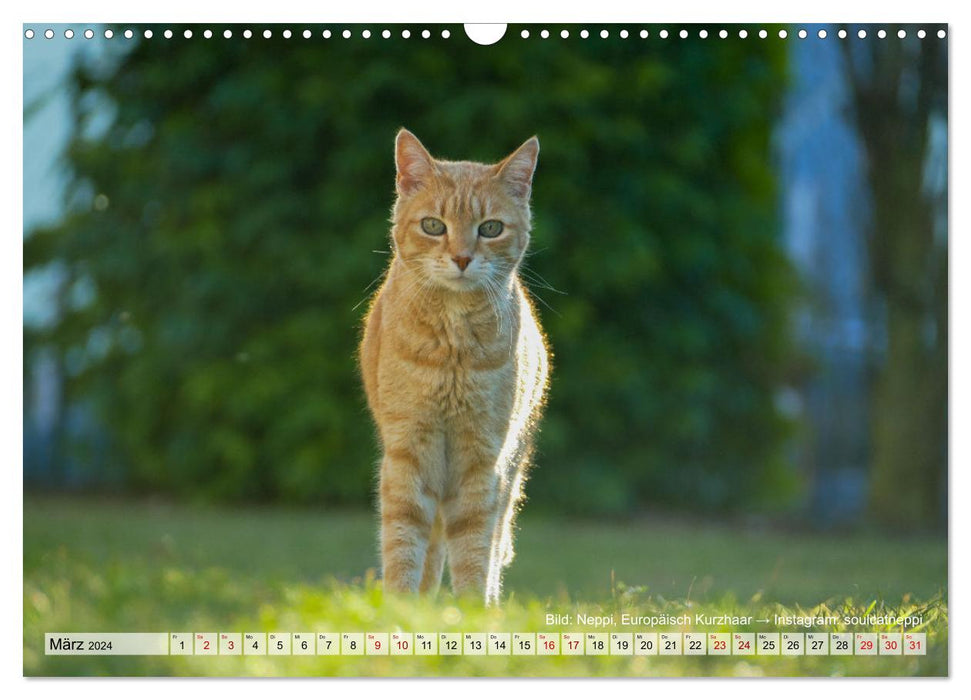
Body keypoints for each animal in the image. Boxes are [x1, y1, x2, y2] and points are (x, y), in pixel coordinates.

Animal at [360, 131, 552, 608]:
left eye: (490, 228)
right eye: (434, 226)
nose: (462, 258)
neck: (452, 345)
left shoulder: (482, 462)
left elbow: (474, 551)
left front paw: (470, 615)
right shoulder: (408, 452)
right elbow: (404, 543)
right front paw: (402, 612)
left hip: (510, 470)